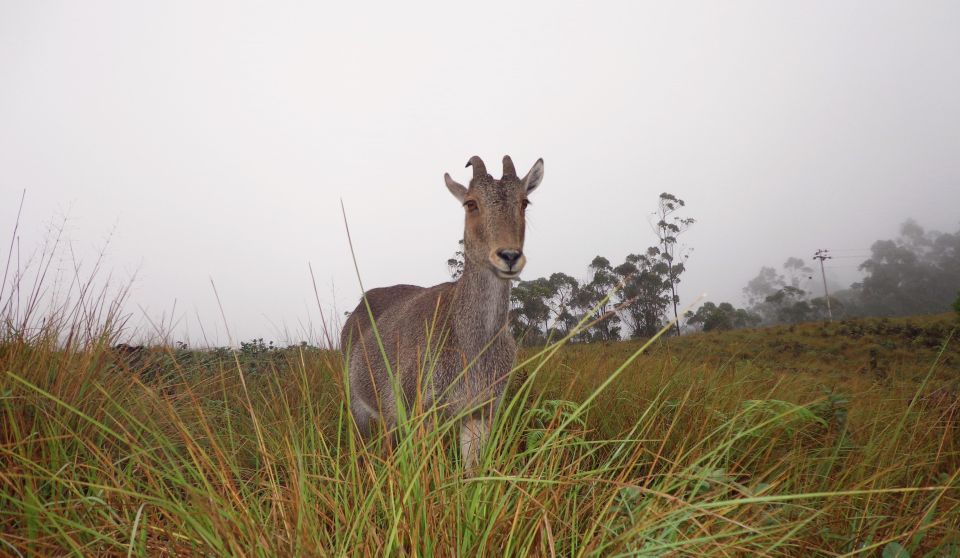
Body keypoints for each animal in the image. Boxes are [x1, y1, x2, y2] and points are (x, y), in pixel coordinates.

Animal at [342, 155, 544, 470]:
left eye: (524, 201)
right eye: (471, 203)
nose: (509, 256)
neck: (473, 343)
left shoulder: (480, 411)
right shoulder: (417, 411)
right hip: (358, 406)